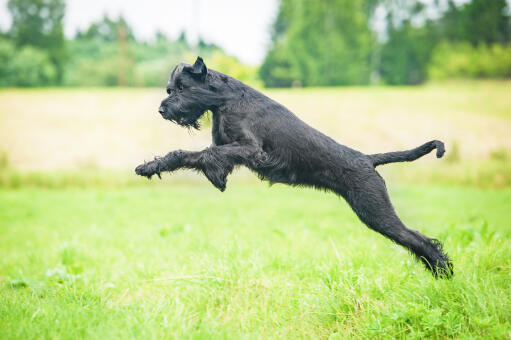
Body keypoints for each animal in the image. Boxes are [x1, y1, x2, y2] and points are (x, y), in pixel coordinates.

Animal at [135, 57, 452, 278]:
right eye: (169, 89)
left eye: (182, 88)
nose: (162, 109)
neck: (226, 100)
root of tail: (367, 158)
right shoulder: (229, 146)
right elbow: (193, 156)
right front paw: (150, 166)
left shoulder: (250, 149)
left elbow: (200, 154)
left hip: (375, 211)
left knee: (418, 239)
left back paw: (444, 272)